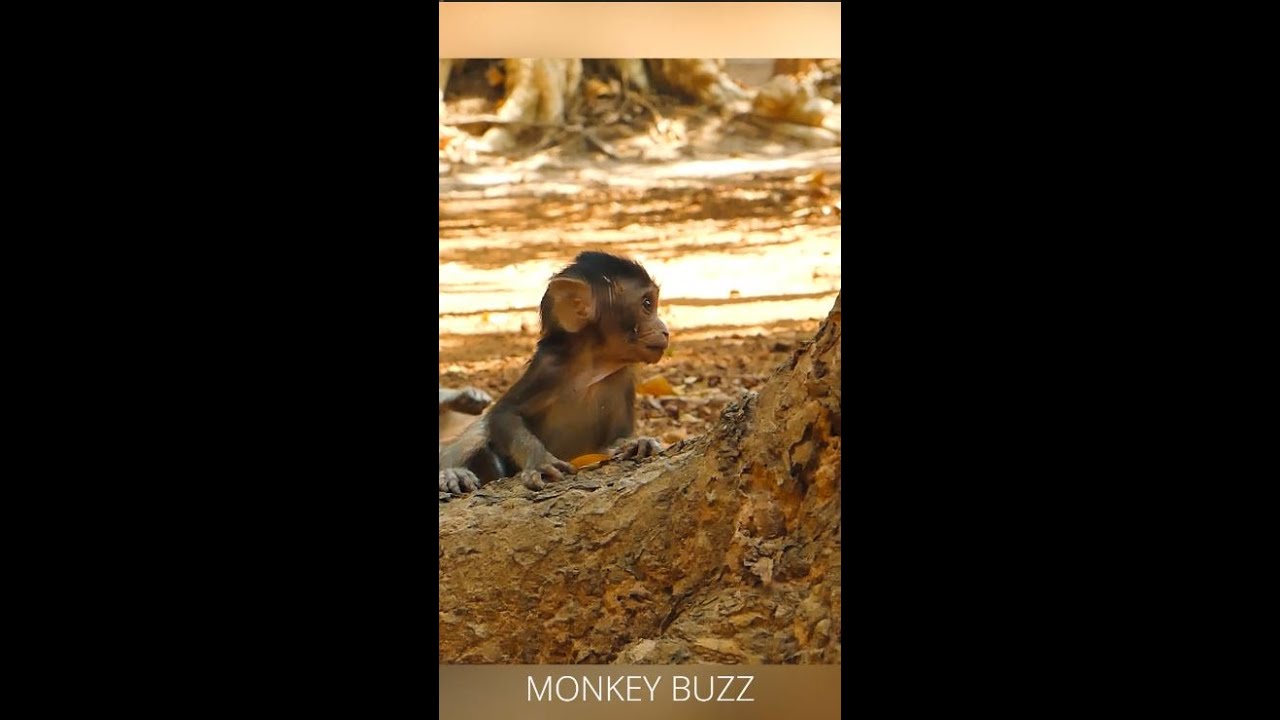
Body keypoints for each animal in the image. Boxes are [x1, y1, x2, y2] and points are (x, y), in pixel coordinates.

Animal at [438, 251, 669, 495]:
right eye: (647, 304)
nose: (665, 330)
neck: (594, 366)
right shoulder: (548, 369)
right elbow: (503, 414)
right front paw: (540, 460)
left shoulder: (622, 376)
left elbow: (616, 438)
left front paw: (637, 442)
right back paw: (452, 473)